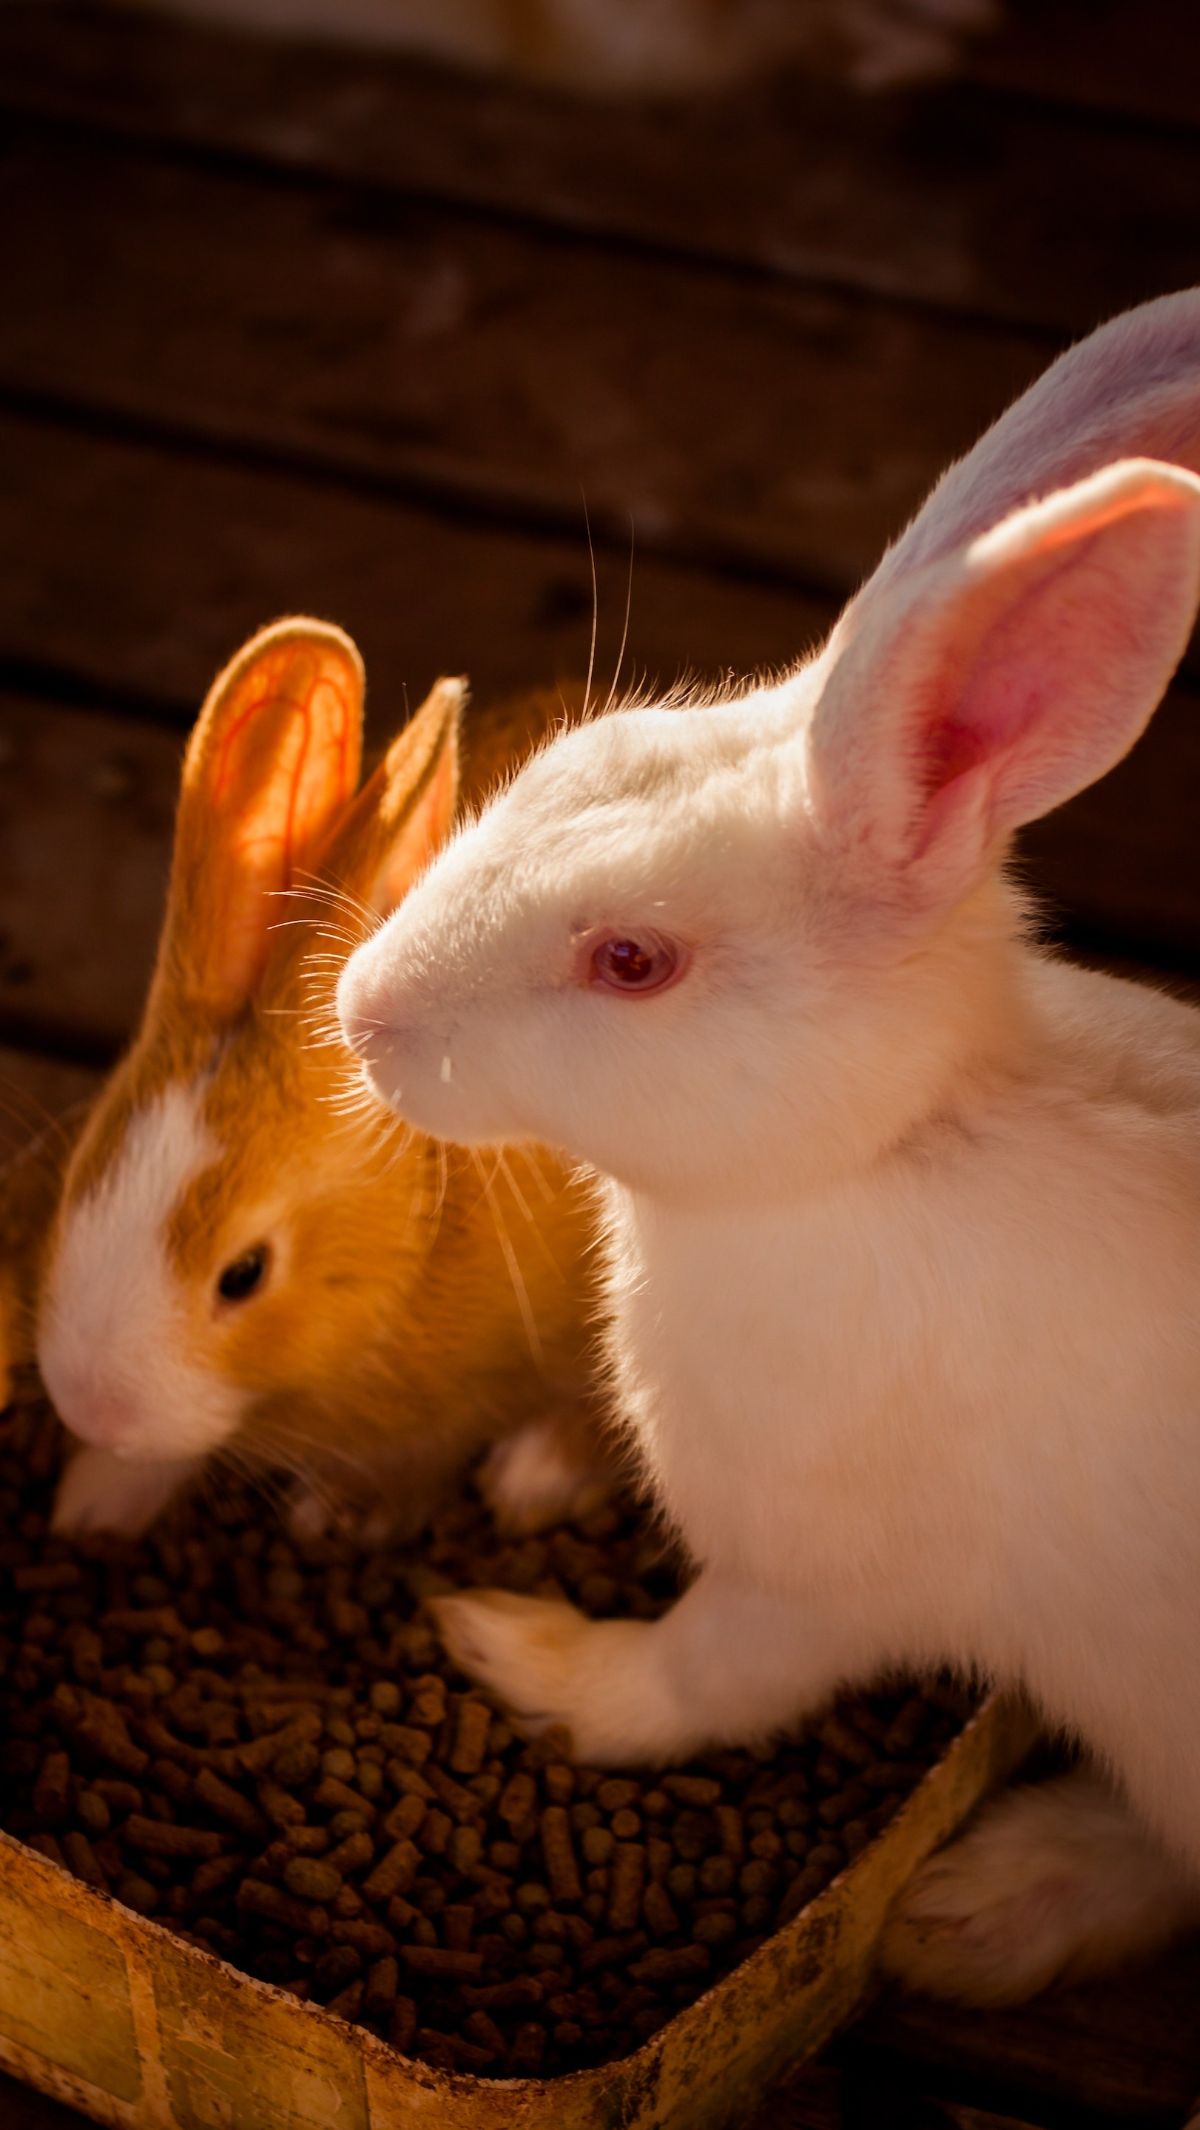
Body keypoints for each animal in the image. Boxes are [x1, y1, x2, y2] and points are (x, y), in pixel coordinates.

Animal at [336, 286, 1200, 2011]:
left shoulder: (814, 1583)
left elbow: (698, 1681)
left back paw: (982, 1905)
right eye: (566, 762)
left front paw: (523, 1654)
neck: (880, 1151)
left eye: (633, 963)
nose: (361, 1010)